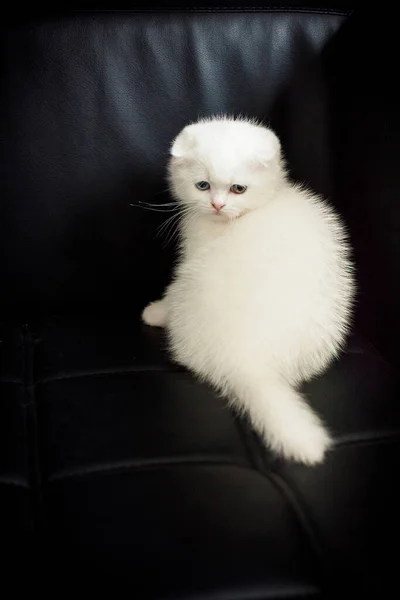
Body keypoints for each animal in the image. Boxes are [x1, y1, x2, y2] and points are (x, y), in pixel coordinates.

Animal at [142, 116, 354, 464]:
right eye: (203, 185)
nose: (217, 205)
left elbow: (170, 294)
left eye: (238, 188)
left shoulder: (192, 258)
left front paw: (155, 312)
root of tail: (249, 360)